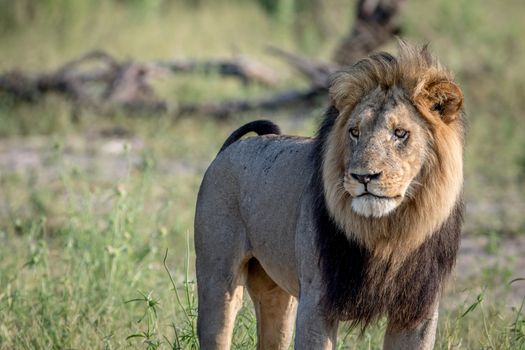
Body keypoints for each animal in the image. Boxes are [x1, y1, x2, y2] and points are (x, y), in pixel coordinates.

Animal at [194, 42, 464, 348]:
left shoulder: (418, 311)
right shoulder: (317, 303)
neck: (388, 233)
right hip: (218, 281)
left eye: (400, 133)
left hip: (276, 295)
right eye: (355, 132)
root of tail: (230, 148)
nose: (364, 177)